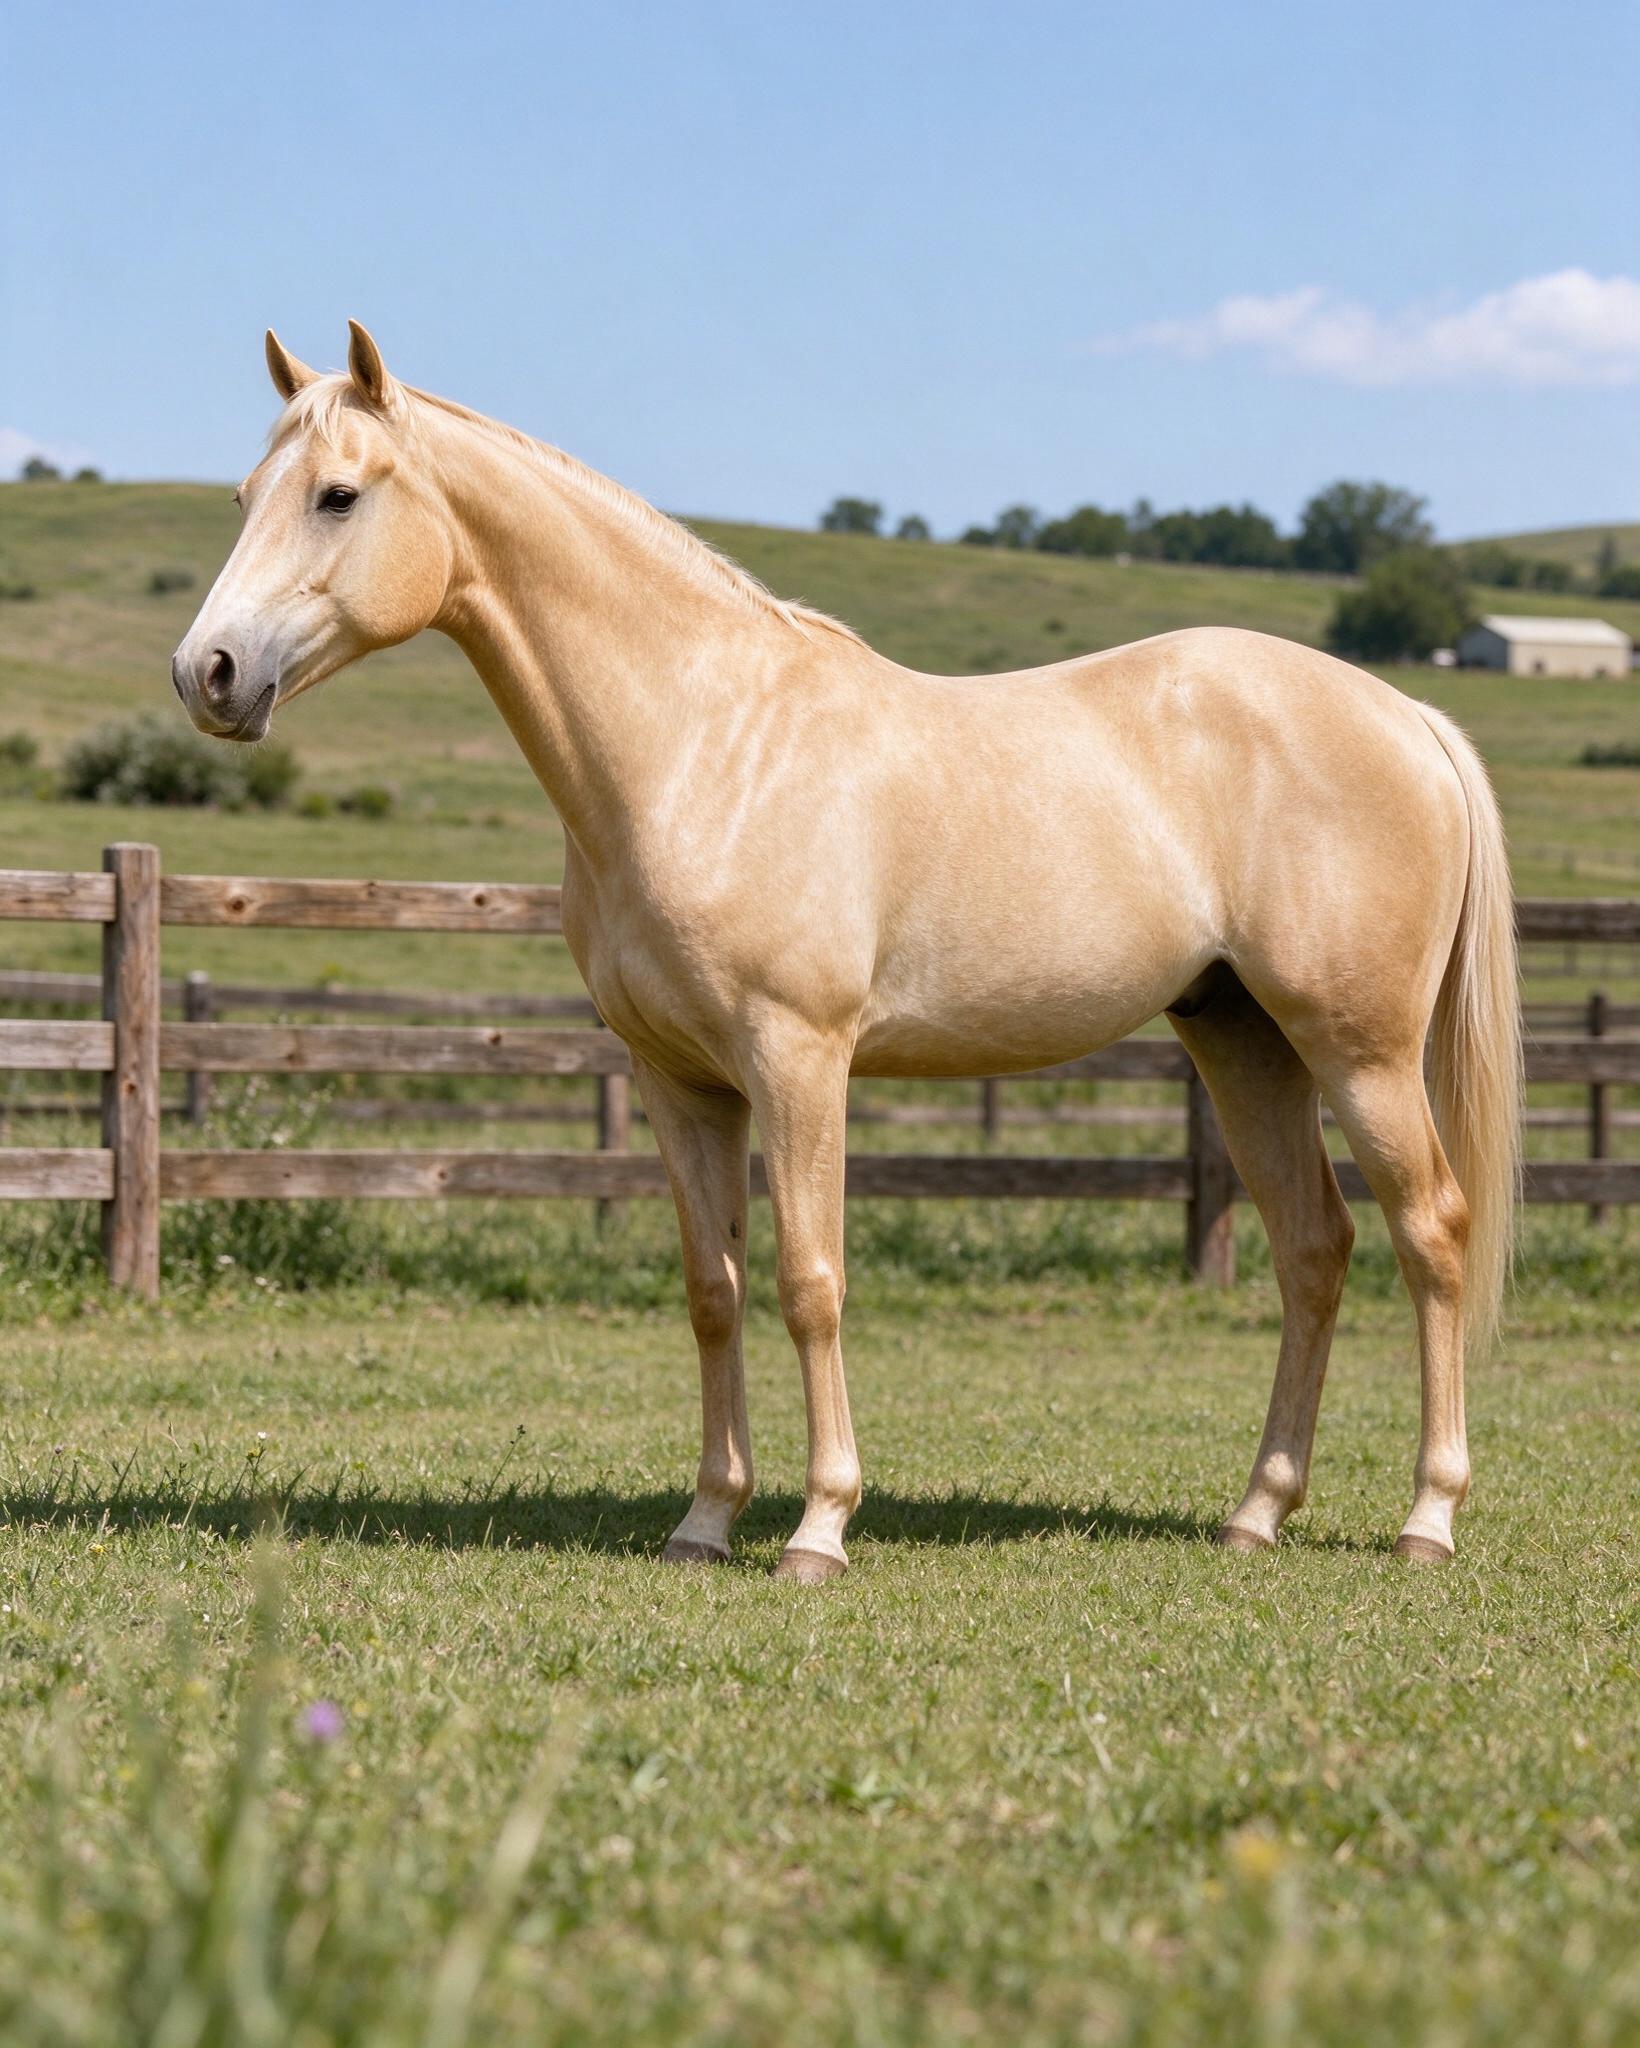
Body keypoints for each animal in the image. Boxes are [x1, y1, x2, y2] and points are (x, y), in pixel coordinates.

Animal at [173, 322, 1521, 1582]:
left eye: (338, 494)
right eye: (245, 496)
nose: (207, 672)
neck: (700, 740)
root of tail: (1406, 713)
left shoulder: (799, 1059)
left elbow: (807, 1280)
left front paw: (818, 1526)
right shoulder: (680, 1081)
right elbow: (712, 1290)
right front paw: (705, 1519)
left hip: (1359, 1050)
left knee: (1430, 1232)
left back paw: (1427, 1516)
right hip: (1243, 1040)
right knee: (1313, 1248)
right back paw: (1255, 1512)